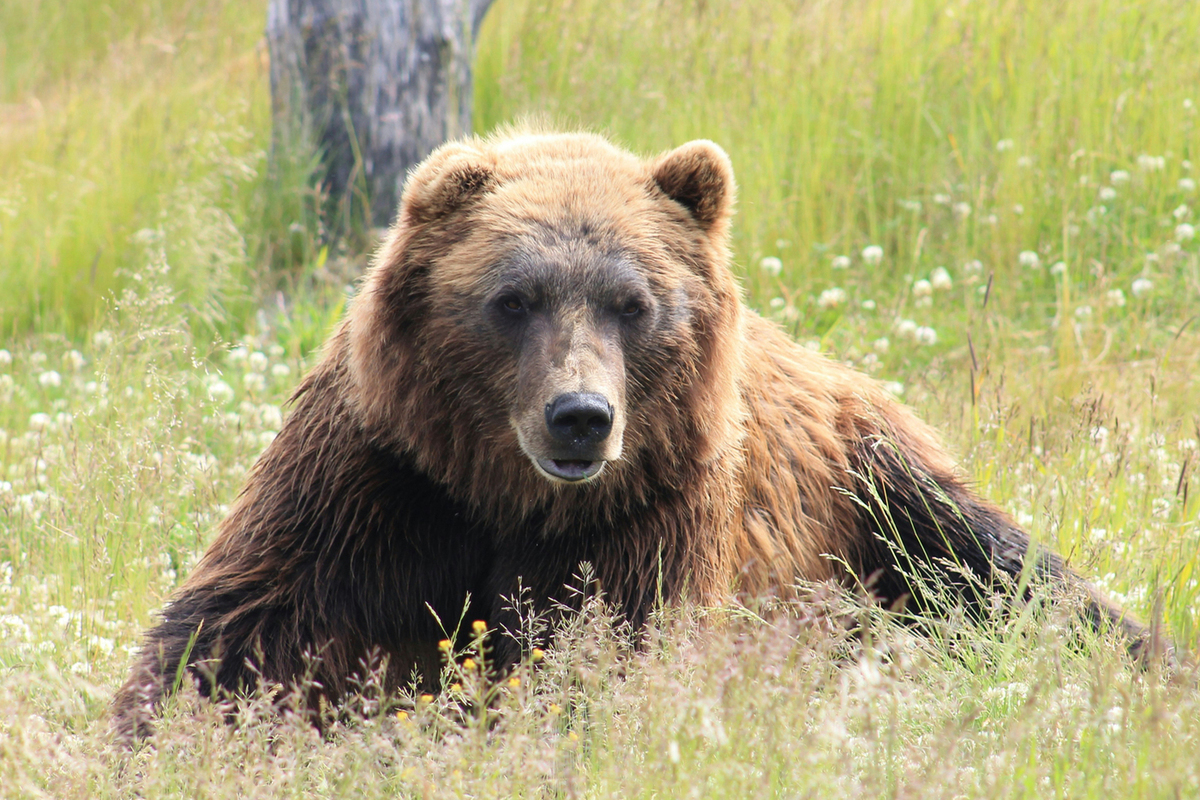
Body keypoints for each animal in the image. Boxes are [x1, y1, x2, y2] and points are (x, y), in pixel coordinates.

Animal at [112, 130, 1161, 743]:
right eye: (513, 298)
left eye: (633, 302)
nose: (580, 415)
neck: (507, 496)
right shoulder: (382, 482)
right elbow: (243, 630)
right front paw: (161, 733)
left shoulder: (649, 513)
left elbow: (608, 656)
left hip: (878, 491)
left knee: (1009, 577)